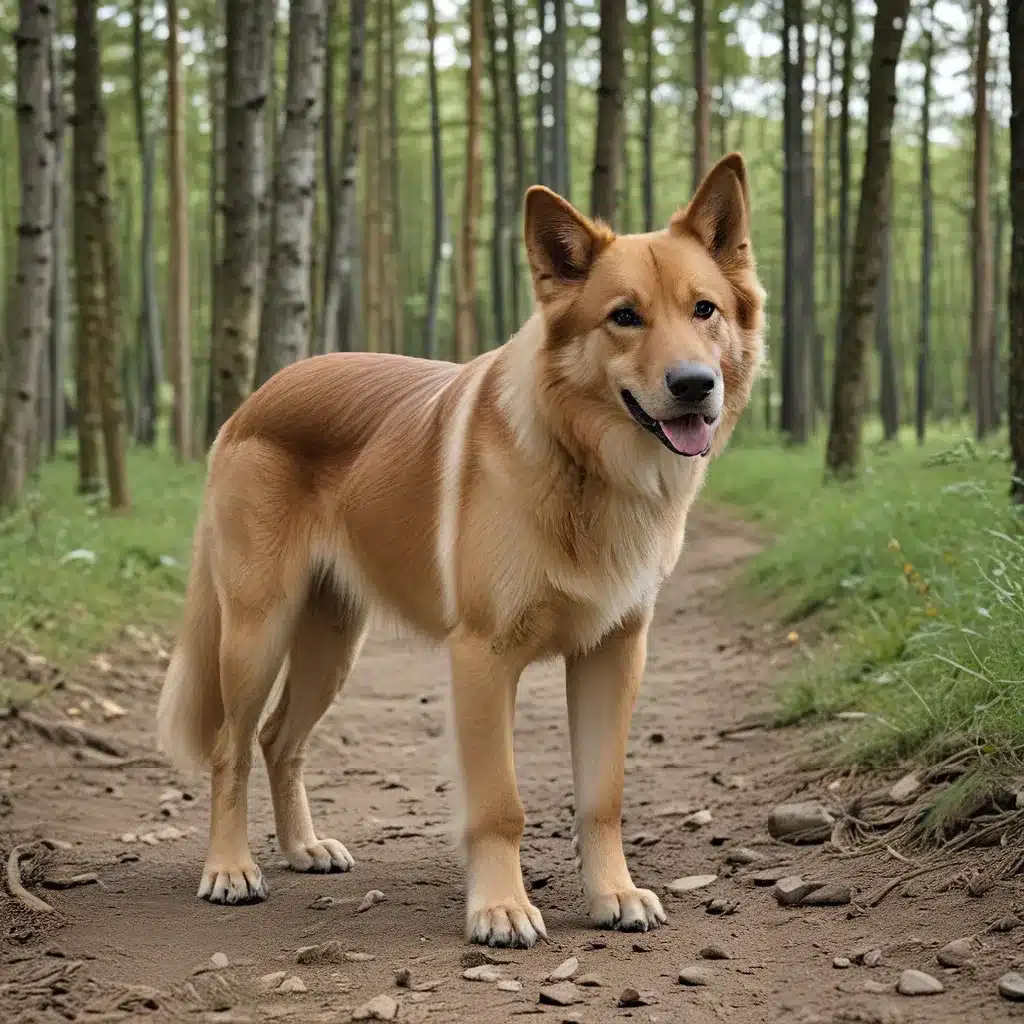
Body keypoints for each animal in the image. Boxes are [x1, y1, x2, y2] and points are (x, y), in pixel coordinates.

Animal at [157, 153, 770, 950]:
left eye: (705, 310)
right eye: (624, 317)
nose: (696, 386)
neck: (584, 466)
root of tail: (255, 400)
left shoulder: (613, 654)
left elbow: (602, 797)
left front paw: (613, 894)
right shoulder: (483, 658)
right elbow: (499, 805)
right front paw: (501, 907)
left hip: (331, 644)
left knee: (277, 740)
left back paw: (303, 849)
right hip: (257, 633)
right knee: (231, 747)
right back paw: (230, 868)